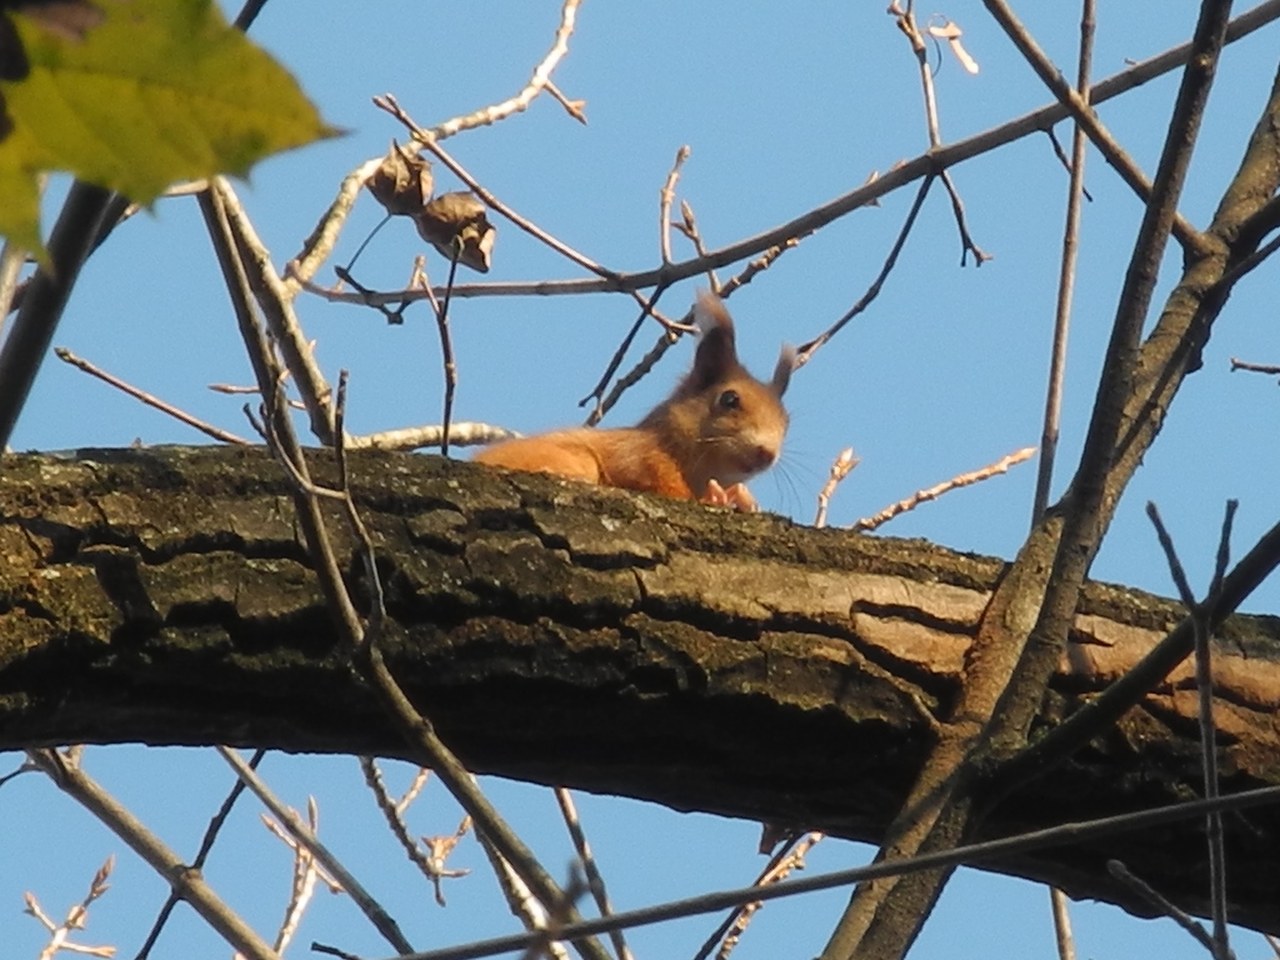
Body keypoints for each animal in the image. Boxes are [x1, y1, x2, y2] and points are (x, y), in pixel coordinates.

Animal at [473, 291, 788, 512]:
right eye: (729, 399)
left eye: (786, 422)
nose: (767, 453)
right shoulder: (640, 457)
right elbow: (663, 487)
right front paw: (715, 497)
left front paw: (743, 498)